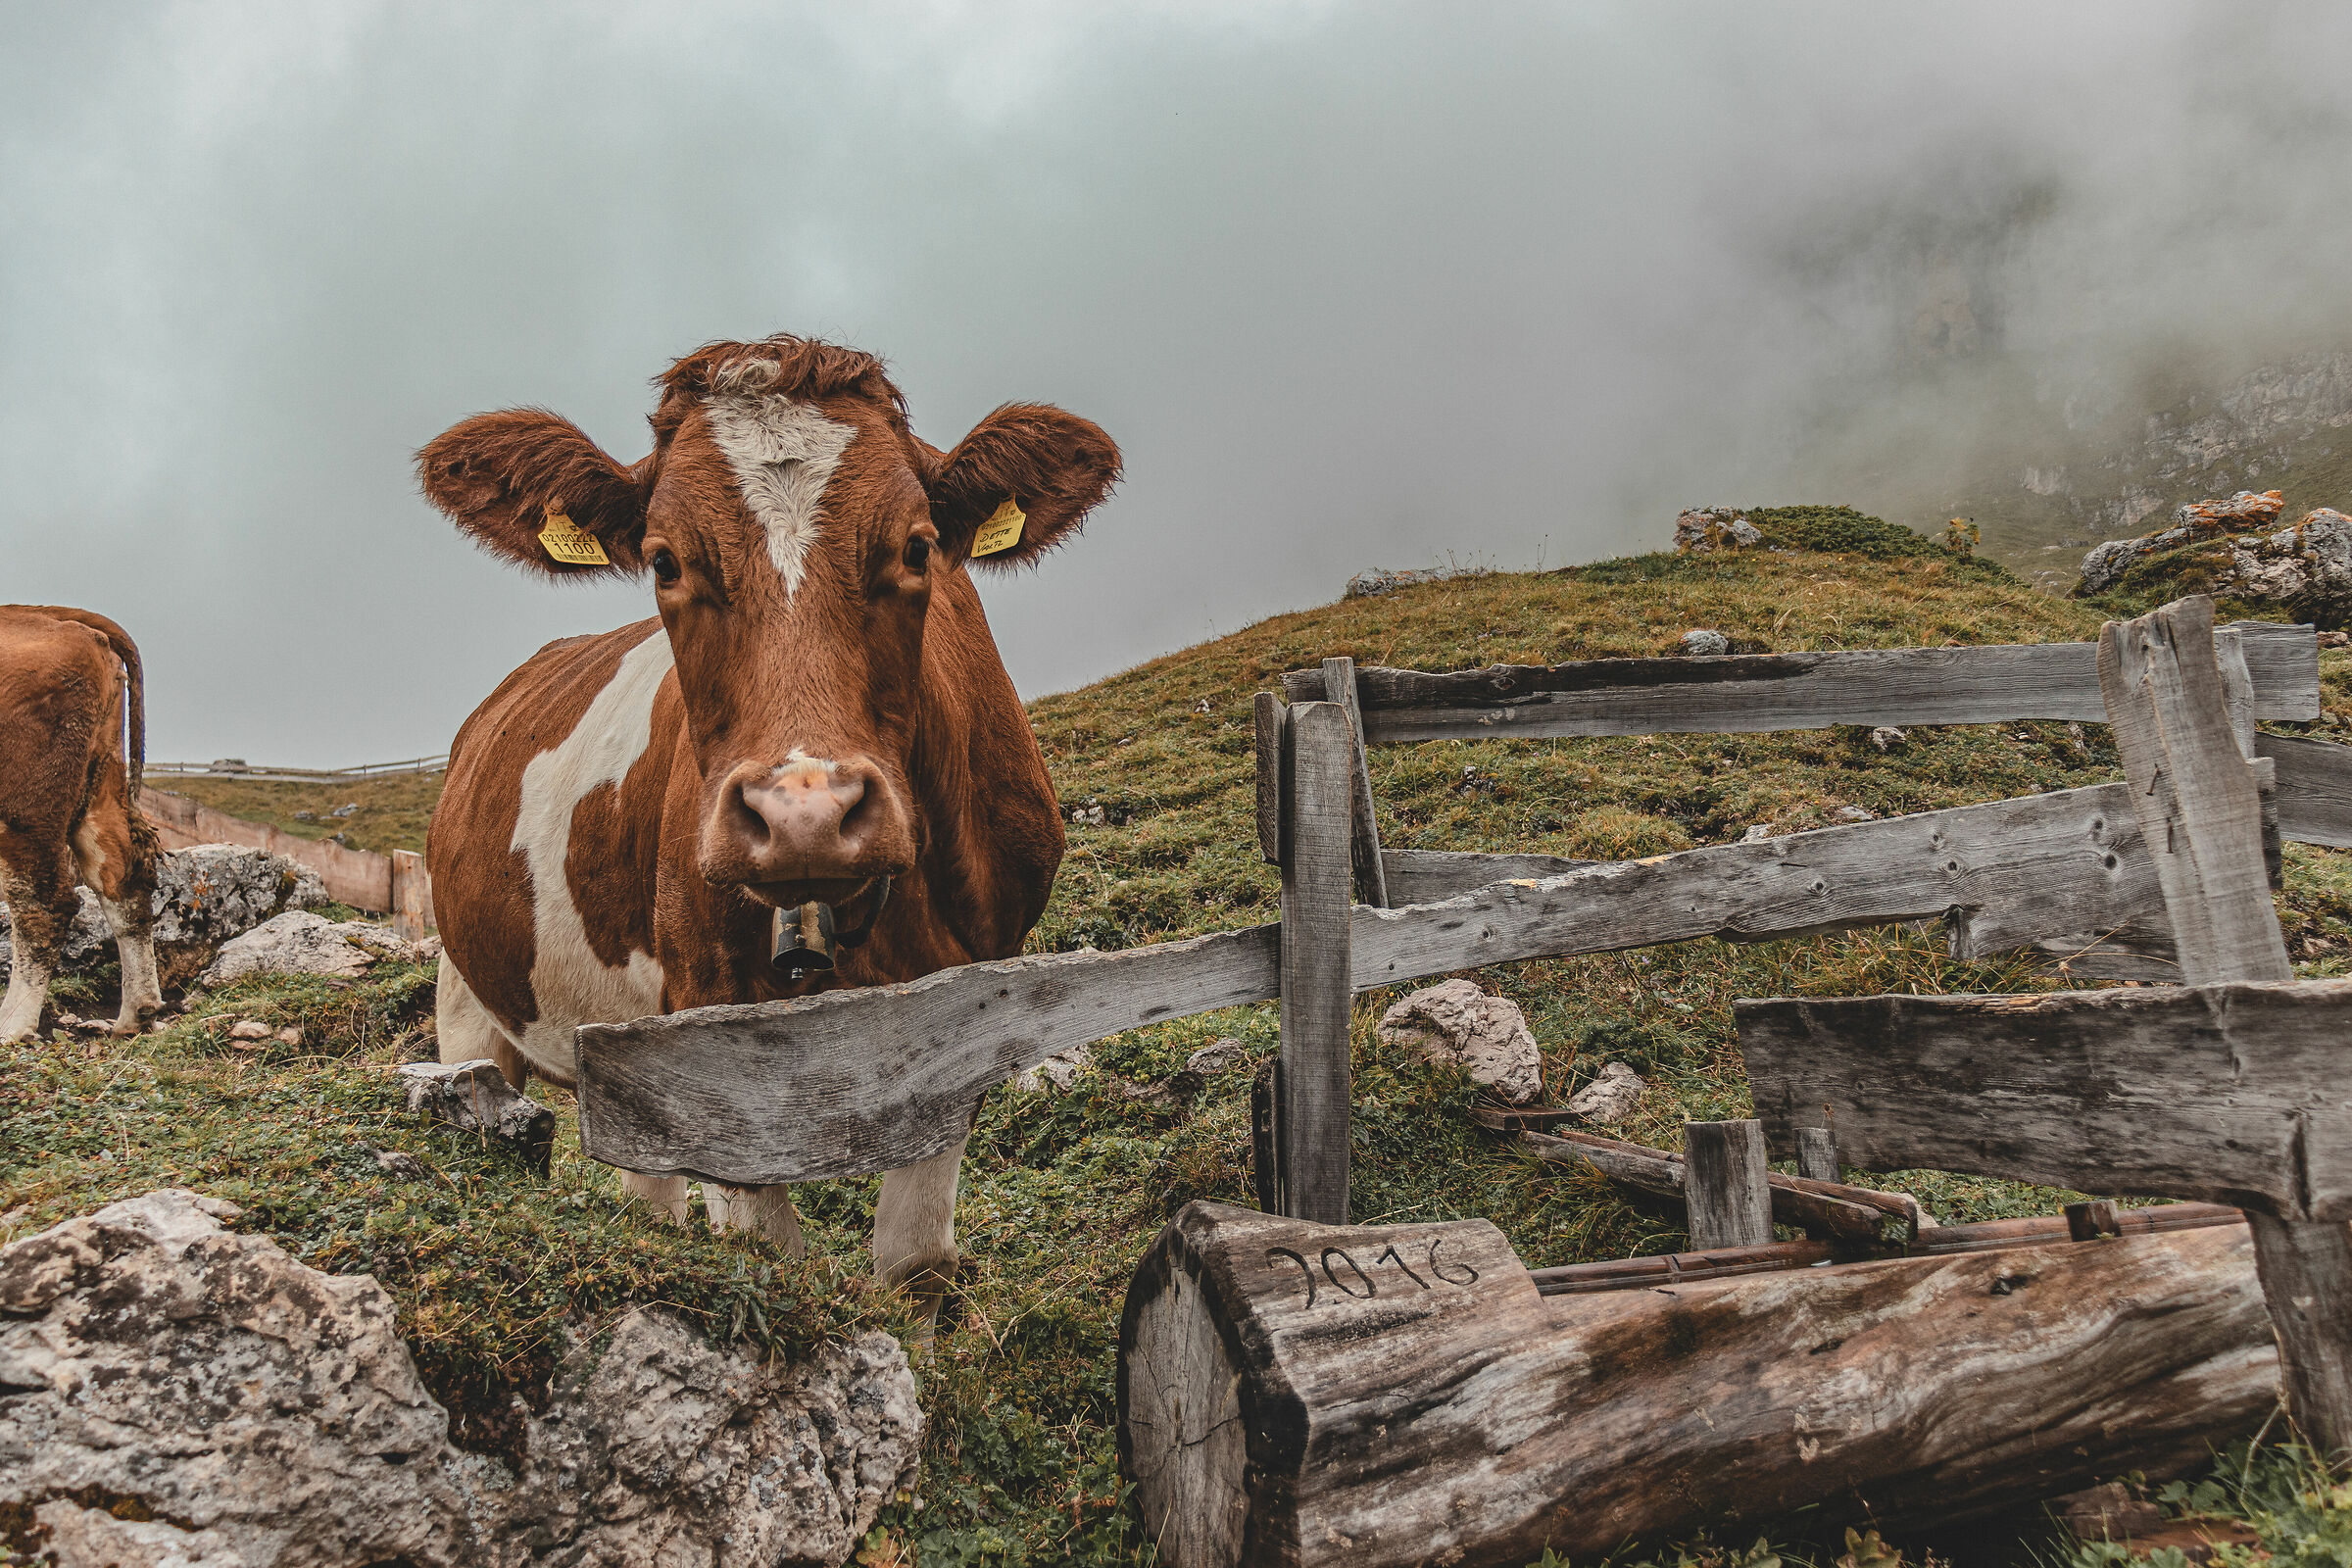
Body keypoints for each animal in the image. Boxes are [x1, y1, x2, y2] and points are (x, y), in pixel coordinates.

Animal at [0, 605, 163, 1044]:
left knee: (44, 905)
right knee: (123, 879)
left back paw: (12, 1026)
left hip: (25, 807)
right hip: (100, 780)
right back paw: (136, 1013)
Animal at [417, 335, 1119, 1317]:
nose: (805, 815)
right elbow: (767, 1248)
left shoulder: (978, 993)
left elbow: (916, 1260)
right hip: (467, 1000)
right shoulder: (703, 1009)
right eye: (665, 562)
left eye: (919, 547)